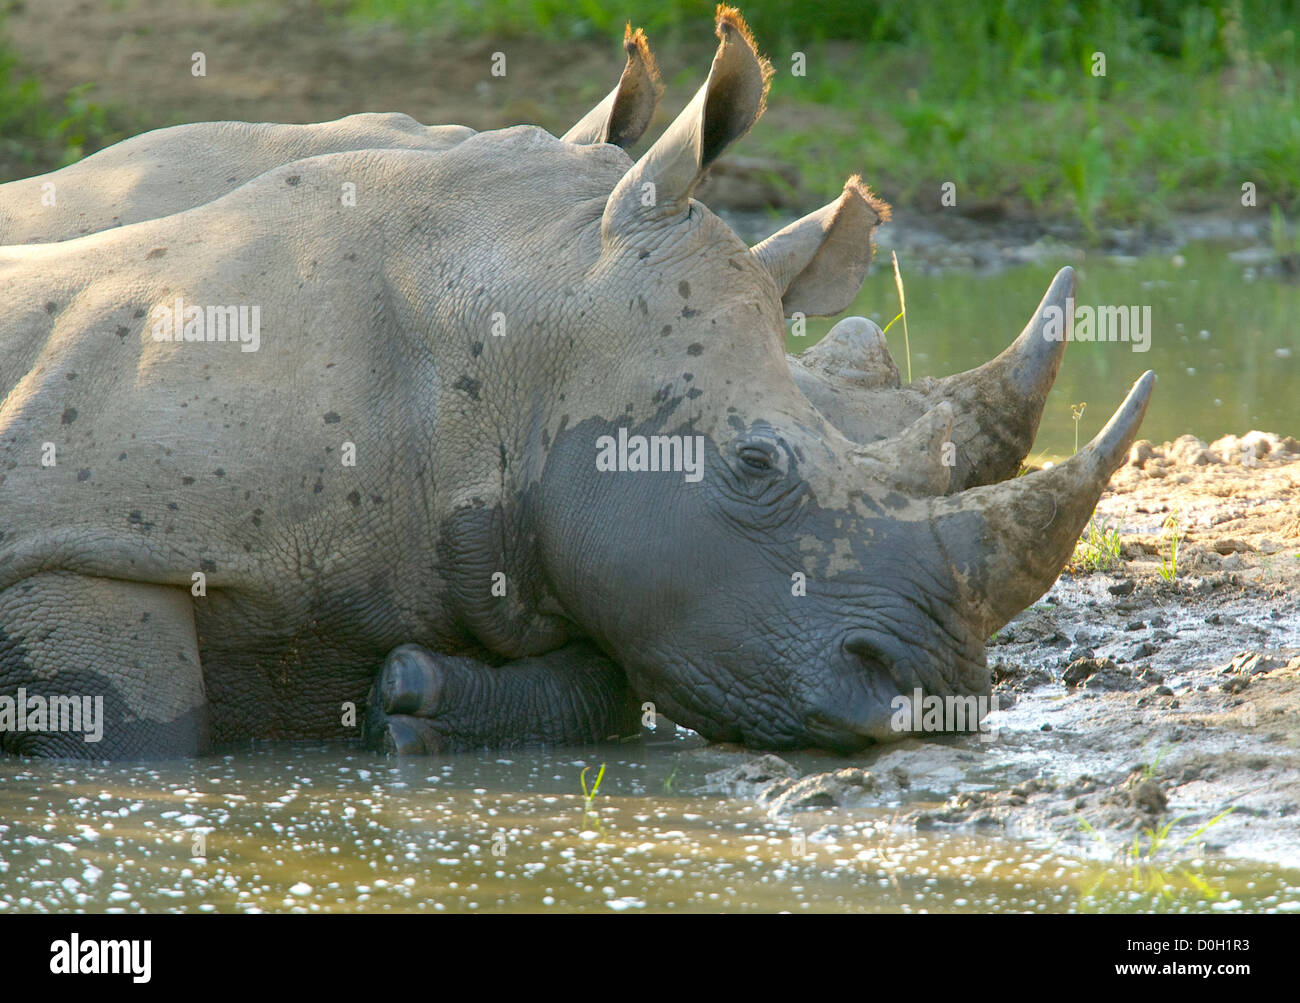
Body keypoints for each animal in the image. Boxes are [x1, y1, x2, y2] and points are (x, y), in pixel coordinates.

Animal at [0, 6, 1153, 759]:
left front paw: (412, 698)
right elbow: (145, 723)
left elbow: (602, 682)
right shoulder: (78, 533)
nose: (937, 695)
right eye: (755, 461)